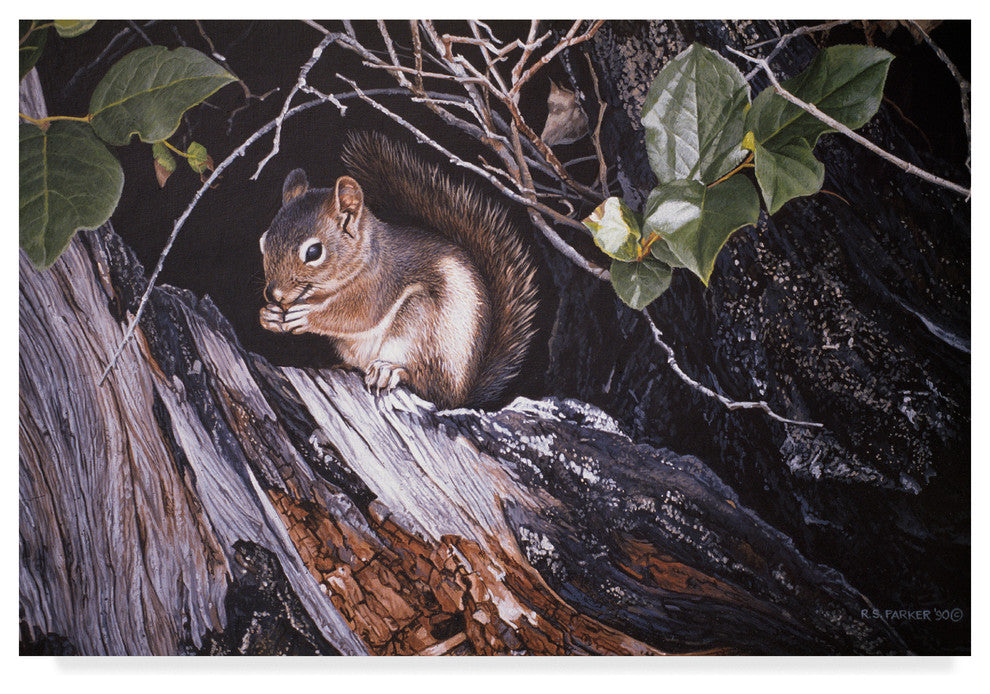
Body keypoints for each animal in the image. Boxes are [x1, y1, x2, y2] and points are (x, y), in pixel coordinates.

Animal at [258, 131, 538, 410]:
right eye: (263, 241)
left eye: (314, 252)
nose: (275, 295)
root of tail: (461, 396)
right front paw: (269, 316)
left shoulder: (382, 281)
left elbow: (357, 314)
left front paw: (305, 316)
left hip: (421, 325)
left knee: (426, 386)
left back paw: (391, 370)